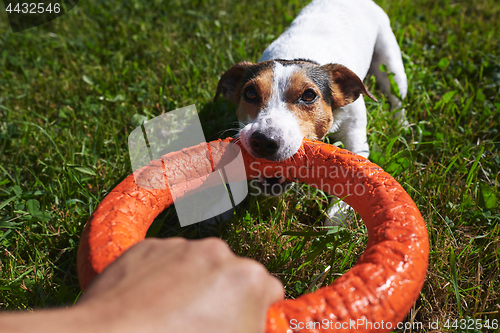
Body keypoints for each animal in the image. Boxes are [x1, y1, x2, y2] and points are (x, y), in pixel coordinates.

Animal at [213, 0, 408, 224]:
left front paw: (336, 216)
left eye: (308, 95)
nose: (263, 140)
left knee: (397, 98)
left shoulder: (356, 137)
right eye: (250, 93)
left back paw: (402, 124)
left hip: (390, 63)